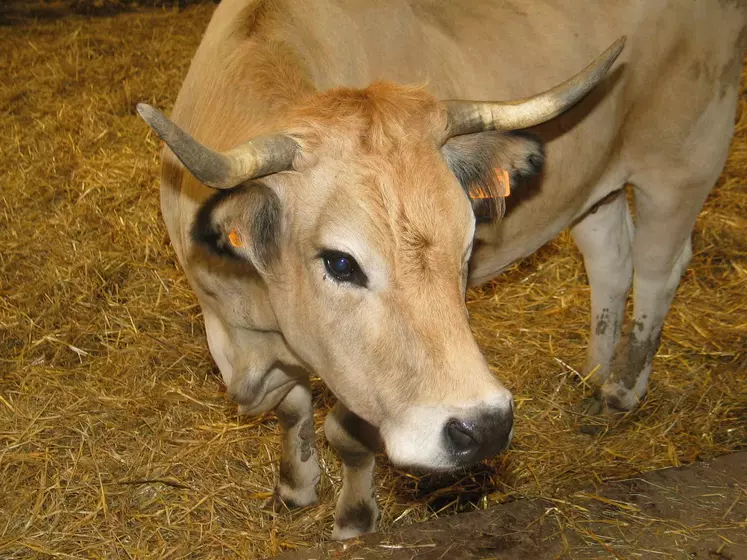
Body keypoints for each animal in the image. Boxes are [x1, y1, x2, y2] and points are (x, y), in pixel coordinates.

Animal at [136, 0, 747, 540]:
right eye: (340, 261)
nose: (487, 427)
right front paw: (295, 485)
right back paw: (592, 377)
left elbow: (347, 435)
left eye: (468, 244)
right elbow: (292, 408)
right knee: (611, 259)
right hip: (595, 183)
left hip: (682, 162)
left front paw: (353, 518)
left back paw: (620, 390)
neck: (255, 328)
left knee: (658, 268)